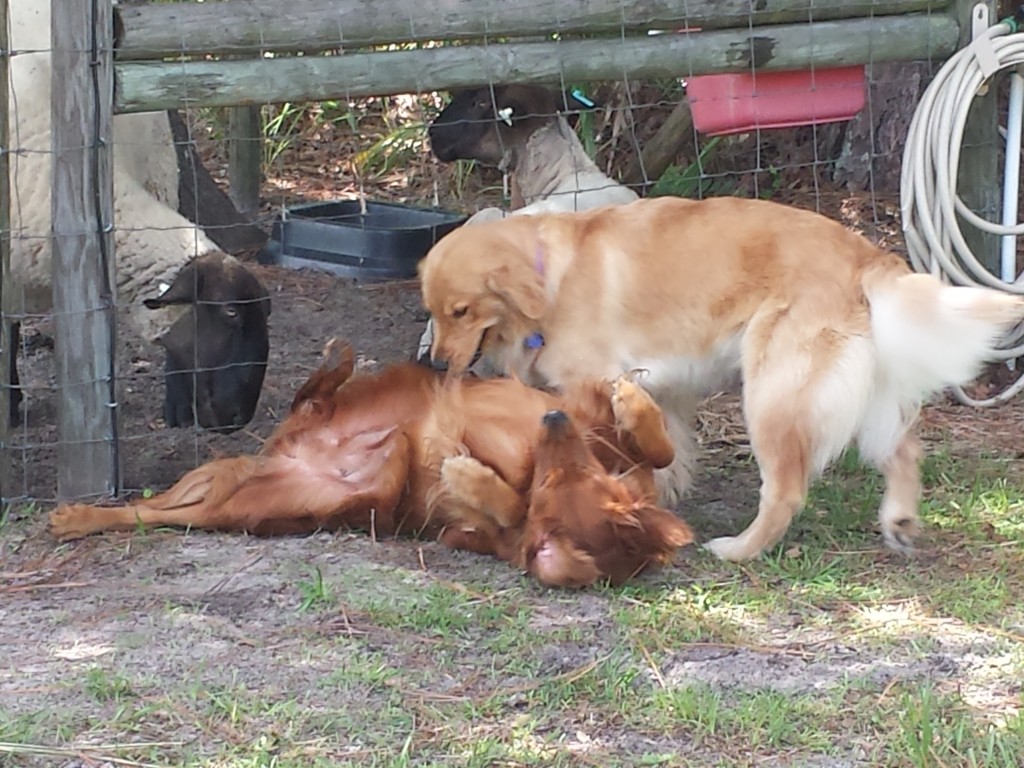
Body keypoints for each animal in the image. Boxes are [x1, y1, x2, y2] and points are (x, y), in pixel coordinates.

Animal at [46, 339, 688, 585]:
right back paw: (337, 364)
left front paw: (470, 477)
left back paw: (77, 517)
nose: (551, 424)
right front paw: (633, 402)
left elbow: (507, 509)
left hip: (309, 502)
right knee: (310, 397)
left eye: (564, 475)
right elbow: (655, 450)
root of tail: (281, 459)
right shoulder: (578, 416)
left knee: (159, 515)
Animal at [417, 195, 1024, 561]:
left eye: (461, 311)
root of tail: (865, 255)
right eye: (433, 311)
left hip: (772, 394)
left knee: (785, 490)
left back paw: (739, 548)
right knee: (903, 452)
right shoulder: (658, 390)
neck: (548, 275)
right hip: (861, 393)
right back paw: (897, 520)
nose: (435, 364)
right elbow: (662, 452)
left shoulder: (591, 381)